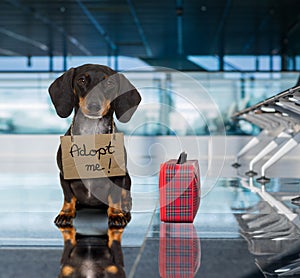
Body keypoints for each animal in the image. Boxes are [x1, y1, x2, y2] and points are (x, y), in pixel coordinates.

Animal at [49, 64, 142, 230]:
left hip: (127, 177)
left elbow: (115, 197)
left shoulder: (118, 176)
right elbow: (68, 196)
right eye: (82, 80)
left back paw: (125, 206)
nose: (93, 106)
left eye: (110, 83)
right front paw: (66, 213)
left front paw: (116, 215)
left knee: (125, 194)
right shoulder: (64, 174)